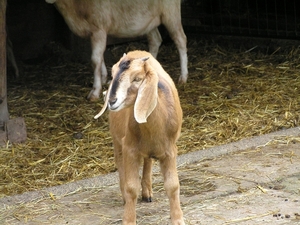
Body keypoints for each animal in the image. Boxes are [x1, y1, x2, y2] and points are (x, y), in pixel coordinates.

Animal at [95, 50, 185, 224]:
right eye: (112, 74)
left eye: (137, 79)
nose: (111, 101)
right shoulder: (129, 148)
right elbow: (131, 188)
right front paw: (129, 219)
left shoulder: (170, 150)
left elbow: (173, 185)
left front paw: (178, 219)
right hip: (117, 139)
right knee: (120, 161)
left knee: (148, 161)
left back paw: (147, 192)